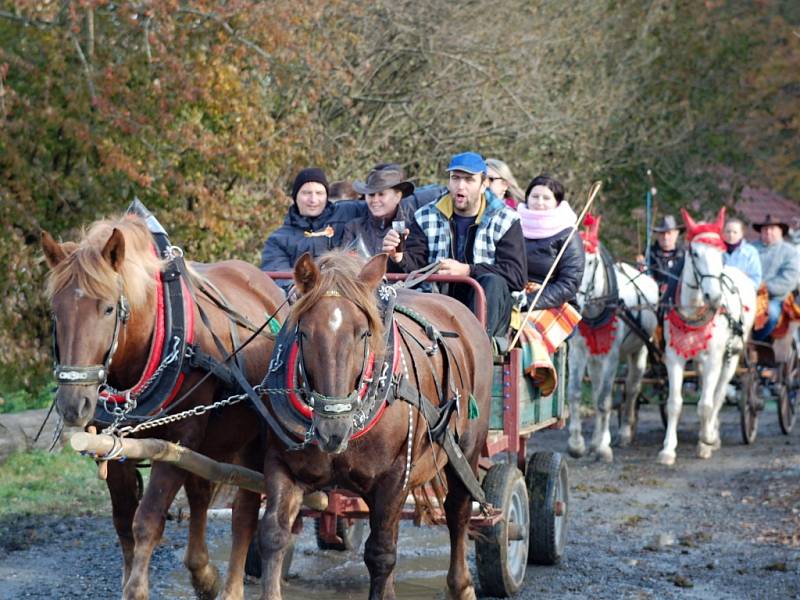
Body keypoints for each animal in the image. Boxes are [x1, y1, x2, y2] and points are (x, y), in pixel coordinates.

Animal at [41, 216, 288, 600]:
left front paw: (136, 589)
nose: (73, 404)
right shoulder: (118, 444)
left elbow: (147, 520)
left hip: (254, 440)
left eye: (108, 308)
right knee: (201, 493)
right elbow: (123, 521)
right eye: (56, 310)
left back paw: (231, 587)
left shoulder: (178, 439)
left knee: (244, 511)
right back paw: (202, 573)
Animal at [260, 253, 490, 600]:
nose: (332, 430)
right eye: (304, 333)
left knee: (458, 511)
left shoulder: (393, 477)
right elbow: (274, 534)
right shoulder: (282, 465)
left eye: (363, 333)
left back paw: (461, 584)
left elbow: (381, 554)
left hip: (466, 450)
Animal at [564, 213, 660, 462]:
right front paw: (577, 444)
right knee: (599, 388)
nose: (574, 300)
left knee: (632, 389)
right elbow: (575, 394)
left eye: (590, 262)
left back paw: (624, 433)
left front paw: (603, 448)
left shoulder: (612, 355)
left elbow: (604, 400)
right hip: (595, 356)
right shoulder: (578, 352)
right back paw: (599, 438)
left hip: (639, 351)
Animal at [656, 209, 756, 466]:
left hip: (731, 357)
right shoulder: (674, 357)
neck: (693, 309)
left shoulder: (714, 359)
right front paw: (668, 449)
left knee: (718, 395)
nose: (714, 296)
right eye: (695, 253)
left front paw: (706, 440)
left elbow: (707, 405)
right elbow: (674, 403)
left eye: (721, 253)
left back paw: (712, 435)